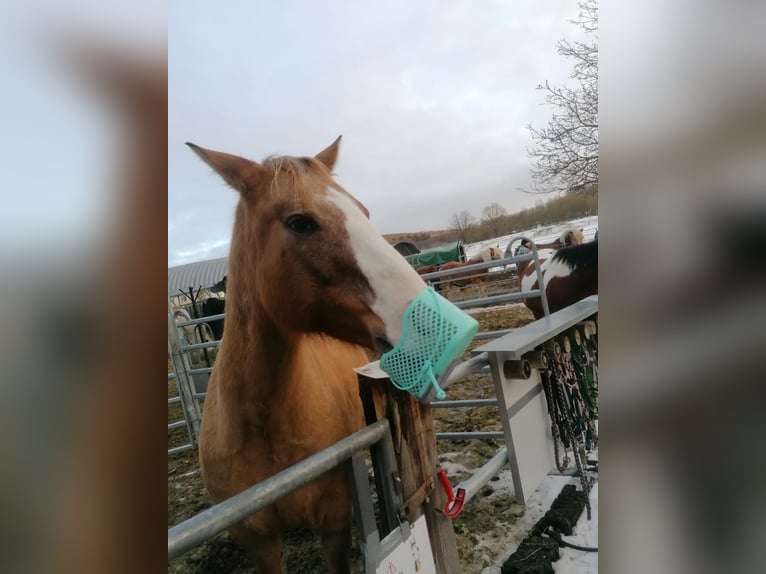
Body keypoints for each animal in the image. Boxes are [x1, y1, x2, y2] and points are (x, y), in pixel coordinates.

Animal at [184, 136, 426, 574]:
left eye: (364, 212)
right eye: (300, 222)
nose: (426, 320)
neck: (261, 426)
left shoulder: (334, 525)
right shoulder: (260, 544)